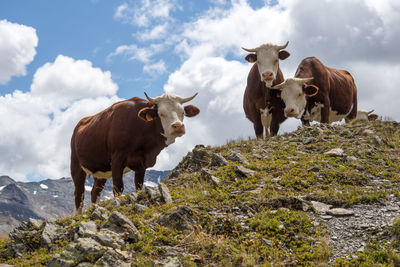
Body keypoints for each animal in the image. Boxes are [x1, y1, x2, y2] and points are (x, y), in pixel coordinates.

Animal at [71, 93, 200, 215]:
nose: (178, 126)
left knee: (95, 192)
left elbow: (138, 185)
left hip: (100, 171)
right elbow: (118, 187)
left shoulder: (141, 163)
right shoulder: (117, 159)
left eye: (182, 112)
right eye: (161, 113)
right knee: (79, 193)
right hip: (76, 165)